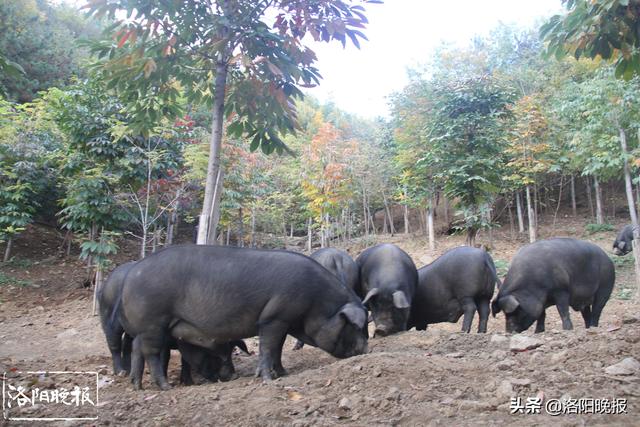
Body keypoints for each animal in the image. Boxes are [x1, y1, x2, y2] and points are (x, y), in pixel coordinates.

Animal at [120, 246, 370, 390]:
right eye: (355, 326)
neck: (315, 301)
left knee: (137, 349)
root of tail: (130, 276)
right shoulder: (274, 318)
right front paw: (268, 379)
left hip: (146, 329)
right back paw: (165, 388)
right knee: (151, 353)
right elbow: (268, 347)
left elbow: (277, 348)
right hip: (153, 323)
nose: (366, 350)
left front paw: (283, 373)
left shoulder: (282, 322)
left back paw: (137, 386)